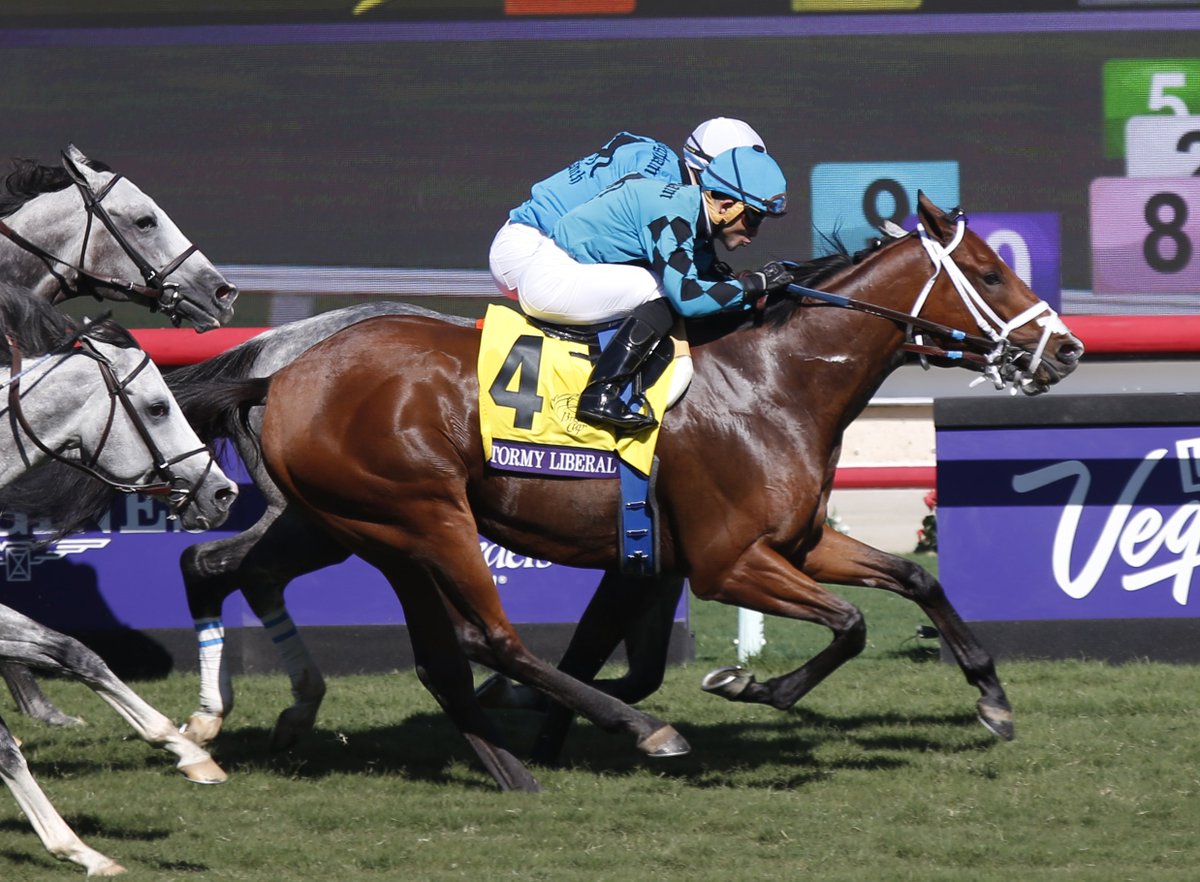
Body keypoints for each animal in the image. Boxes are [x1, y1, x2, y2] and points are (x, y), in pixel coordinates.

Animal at [0, 287, 238, 875]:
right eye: (157, 407)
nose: (222, 492)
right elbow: (4, 745)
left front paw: (188, 751)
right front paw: (75, 847)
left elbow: (75, 651)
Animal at [179, 193, 1080, 791]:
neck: (771, 379)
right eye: (989, 272)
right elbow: (850, 623)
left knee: (264, 583)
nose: (1067, 350)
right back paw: (643, 733)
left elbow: (915, 578)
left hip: (356, 527)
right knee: (488, 639)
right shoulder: (726, 561)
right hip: (426, 517)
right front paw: (749, 685)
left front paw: (992, 699)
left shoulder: (792, 542)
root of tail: (283, 374)